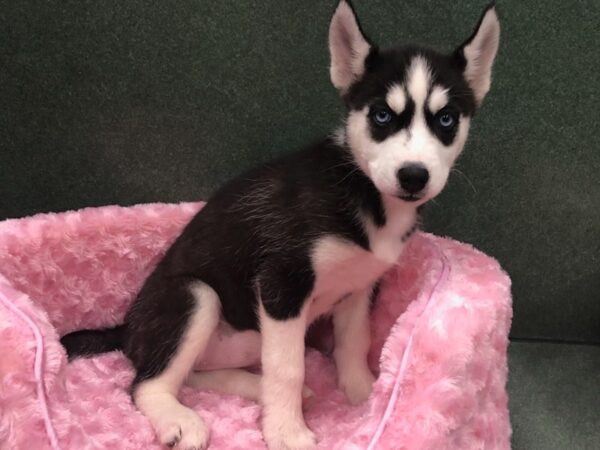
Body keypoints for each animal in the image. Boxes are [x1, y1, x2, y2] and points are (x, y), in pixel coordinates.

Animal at [62, 1, 502, 448]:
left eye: (446, 120)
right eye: (381, 115)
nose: (413, 176)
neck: (363, 190)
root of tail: (127, 330)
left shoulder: (358, 286)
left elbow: (353, 342)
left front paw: (365, 397)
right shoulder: (282, 284)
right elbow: (288, 368)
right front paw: (287, 431)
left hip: (244, 338)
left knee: (195, 375)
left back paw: (253, 390)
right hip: (195, 296)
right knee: (147, 384)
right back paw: (179, 418)